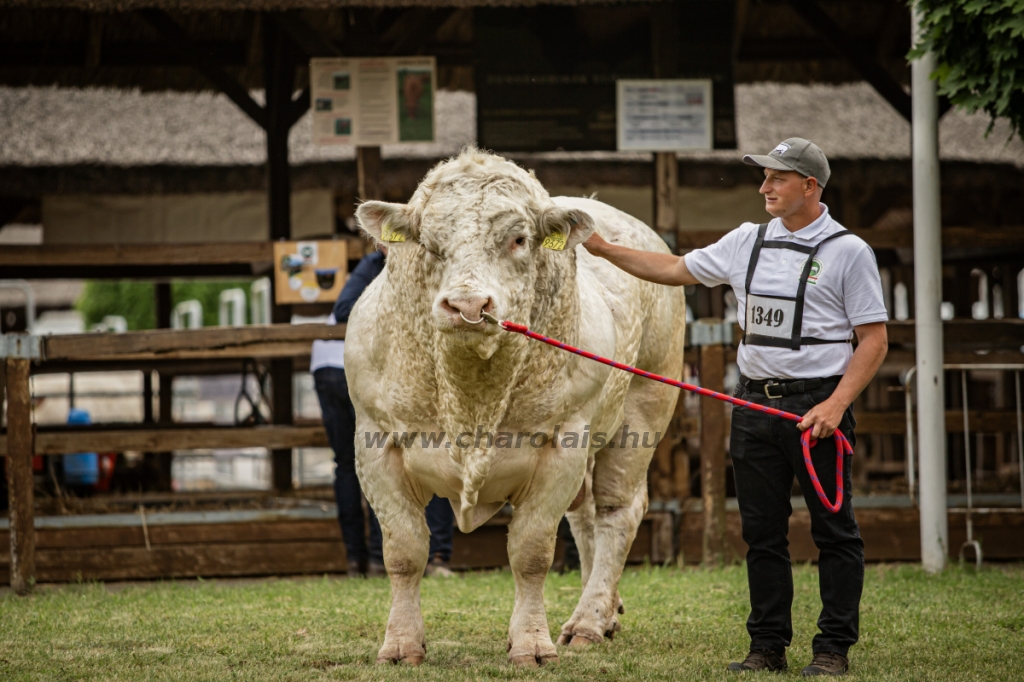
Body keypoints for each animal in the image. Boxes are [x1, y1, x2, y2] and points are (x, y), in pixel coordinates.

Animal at [346, 147, 688, 663]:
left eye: (519, 239)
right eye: (429, 242)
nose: (467, 306)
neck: (472, 395)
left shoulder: (561, 445)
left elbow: (531, 554)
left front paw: (531, 641)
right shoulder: (375, 443)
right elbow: (404, 552)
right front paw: (402, 643)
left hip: (643, 412)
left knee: (616, 513)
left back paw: (588, 620)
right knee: (585, 517)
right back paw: (604, 612)